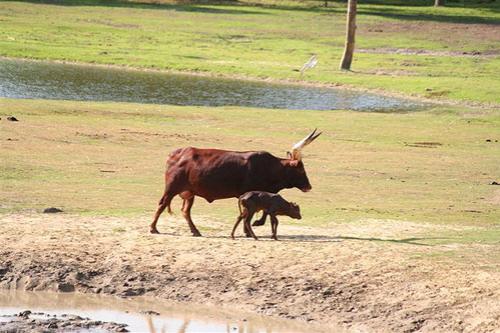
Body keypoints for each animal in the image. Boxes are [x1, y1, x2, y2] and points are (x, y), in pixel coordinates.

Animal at [151, 128, 320, 235]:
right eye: (301, 169)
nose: (309, 186)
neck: (271, 167)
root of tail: (177, 153)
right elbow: (257, 213)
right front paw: (252, 227)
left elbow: (263, 211)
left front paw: (253, 226)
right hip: (171, 189)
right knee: (162, 204)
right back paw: (153, 228)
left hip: (190, 193)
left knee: (185, 211)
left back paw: (195, 231)